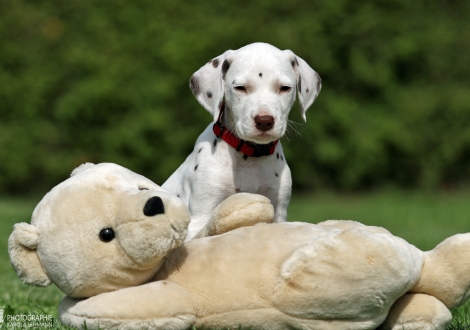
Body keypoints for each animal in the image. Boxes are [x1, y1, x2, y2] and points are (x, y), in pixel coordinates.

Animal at [163, 43, 322, 240]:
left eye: (284, 88)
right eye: (240, 87)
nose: (264, 121)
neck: (251, 156)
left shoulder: (278, 213)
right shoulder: (201, 216)